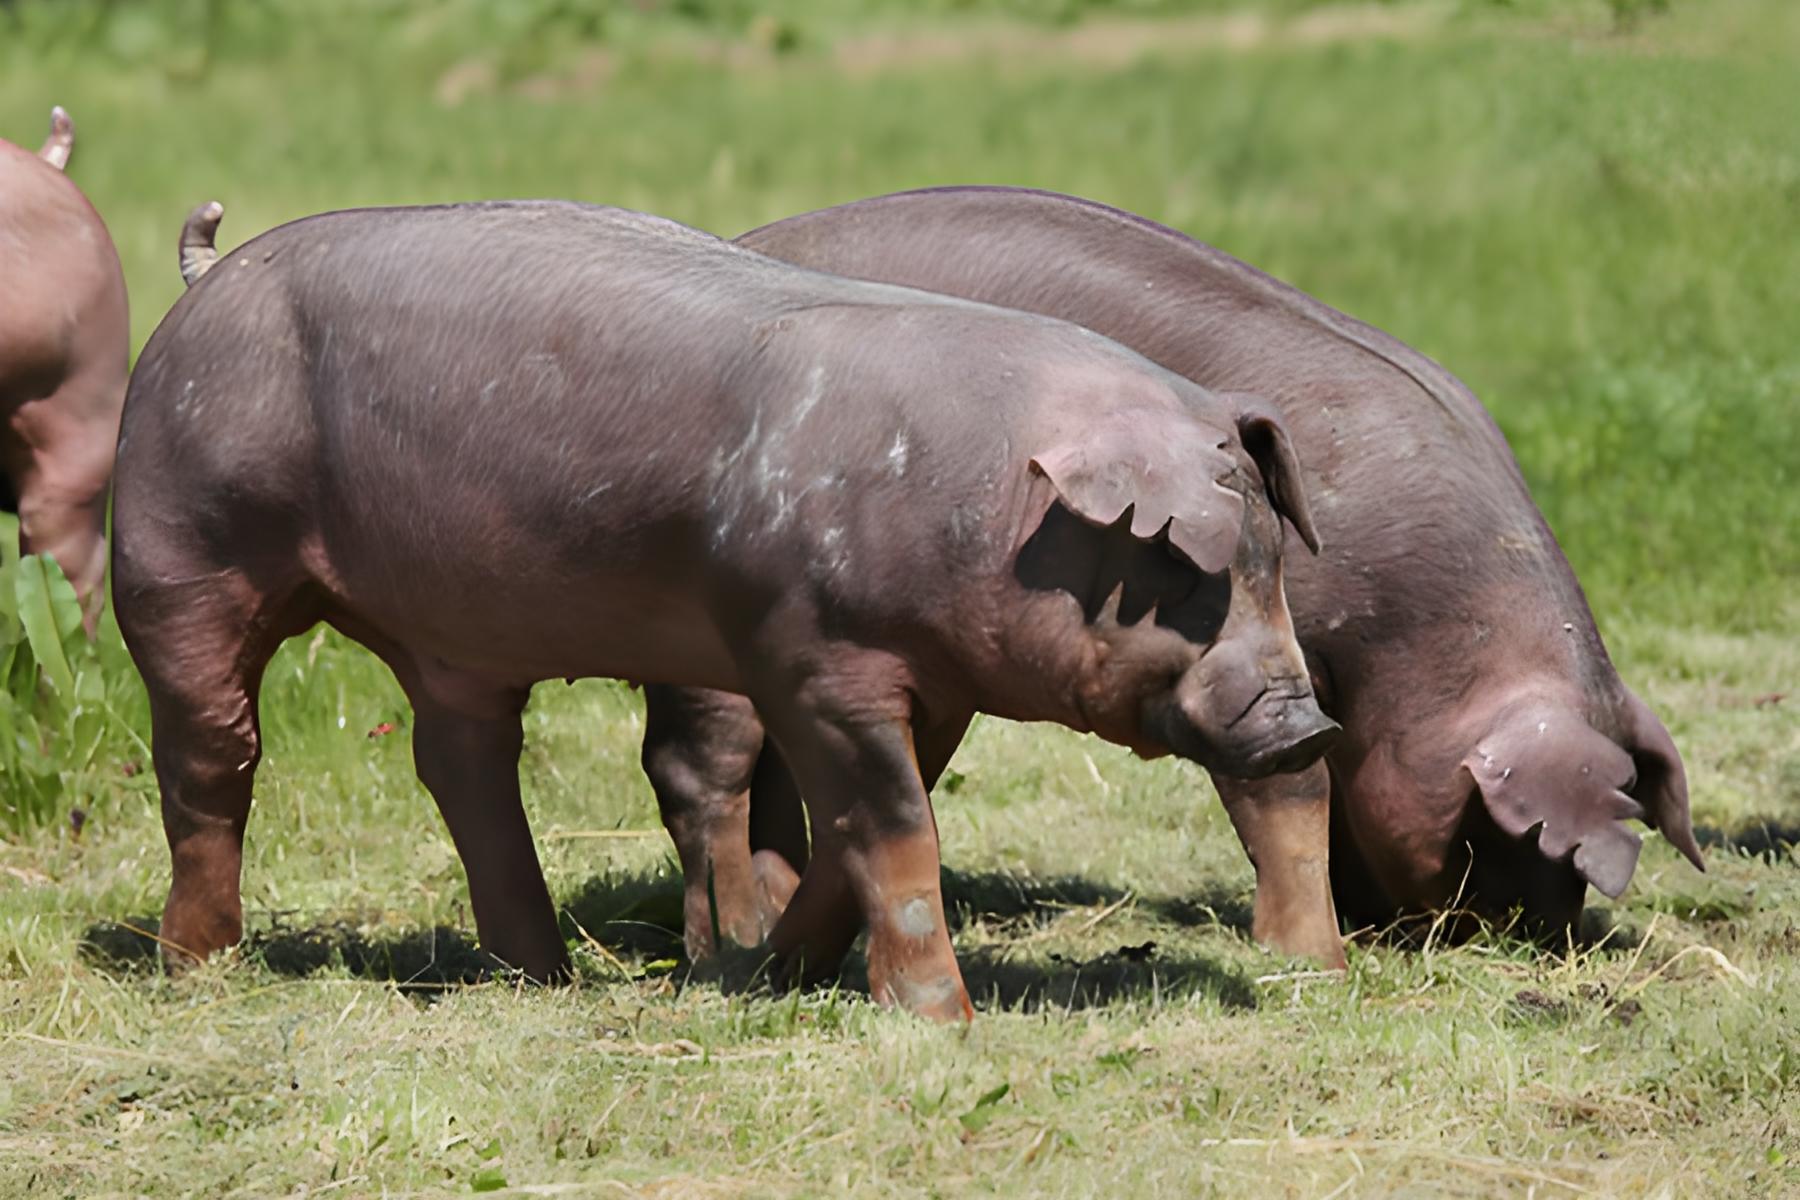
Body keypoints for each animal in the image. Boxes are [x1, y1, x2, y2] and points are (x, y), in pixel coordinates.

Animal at [130, 199, 1339, 1021]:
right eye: (1182, 574)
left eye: (1275, 559)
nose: (1306, 723)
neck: (984, 498)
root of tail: (206, 276)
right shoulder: (814, 651)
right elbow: (892, 825)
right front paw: (941, 1021)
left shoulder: (935, 681)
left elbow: (854, 836)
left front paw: (767, 976)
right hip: (178, 544)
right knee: (210, 754)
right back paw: (199, 968)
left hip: (450, 645)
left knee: (463, 764)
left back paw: (542, 978)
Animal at [640, 185, 1706, 964]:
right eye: (1501, 830)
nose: (1542, 938)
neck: (1427, 639)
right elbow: (1288, 786)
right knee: (701, 766)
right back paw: (727, 941)